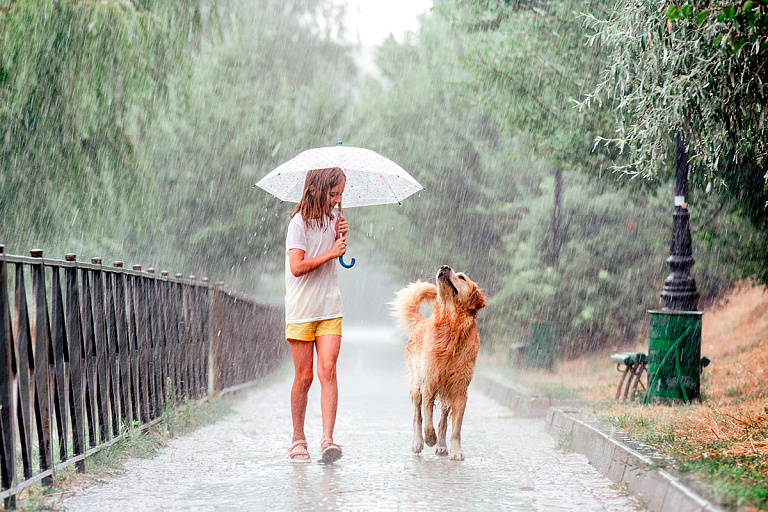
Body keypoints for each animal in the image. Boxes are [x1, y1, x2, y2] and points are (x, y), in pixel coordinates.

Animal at [390, 266, 486, 462]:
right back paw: (418, 442)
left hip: (446, 394)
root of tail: (422, 321)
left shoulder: (459, 390)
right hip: (416, 385)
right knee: (417, 416)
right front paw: (429, 439)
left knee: (442, 421)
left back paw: (442, 446)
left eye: (462, 278)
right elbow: (427, 419)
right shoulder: (429, 383)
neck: (451, 325)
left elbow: (455, 428)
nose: (444, 267)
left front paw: (456, 450)